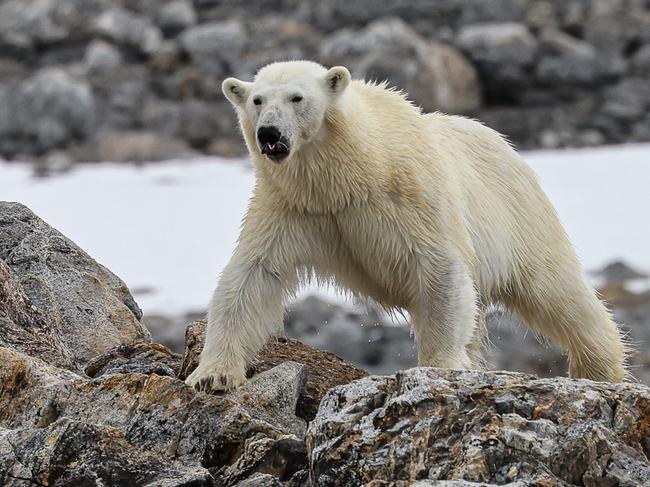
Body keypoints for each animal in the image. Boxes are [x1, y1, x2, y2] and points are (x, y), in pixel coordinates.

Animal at [185, 60, 624, 392]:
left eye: (297, 97)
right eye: (257, 100)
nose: (269, 133)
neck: (346, 176)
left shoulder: (407, 197)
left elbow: (438, 268)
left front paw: (442, 364)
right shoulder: (292, 208)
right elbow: (252, 276)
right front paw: (213, 375)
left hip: (520, 217)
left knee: (556, 290)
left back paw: (599, 367)